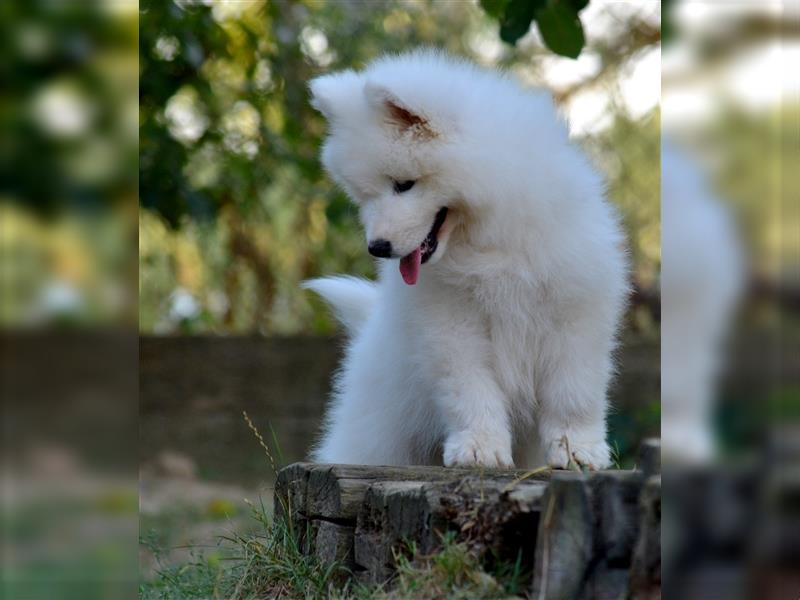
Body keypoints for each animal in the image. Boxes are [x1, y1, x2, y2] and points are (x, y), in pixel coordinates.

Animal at [304, 50, 628, 468]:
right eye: (365, 195)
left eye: (403, 185)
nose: (377, 248)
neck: (488, 240)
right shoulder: (452, 325)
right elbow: (470, 390)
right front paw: (479, 449)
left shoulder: (574, 314)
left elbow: (574, 393)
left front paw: (577, 450)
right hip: (377, 438)